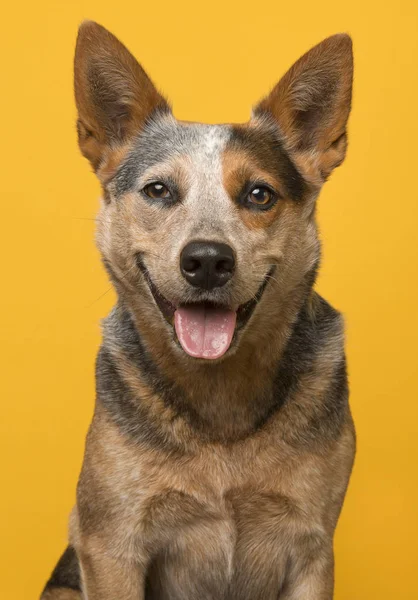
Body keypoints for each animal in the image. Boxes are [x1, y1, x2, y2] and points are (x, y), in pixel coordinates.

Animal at [40, 21, 356, 596]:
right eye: (158, 189)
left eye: (259, 194)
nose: (207, 260)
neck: (219, 398)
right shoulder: (111, 546)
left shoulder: (313, 549)